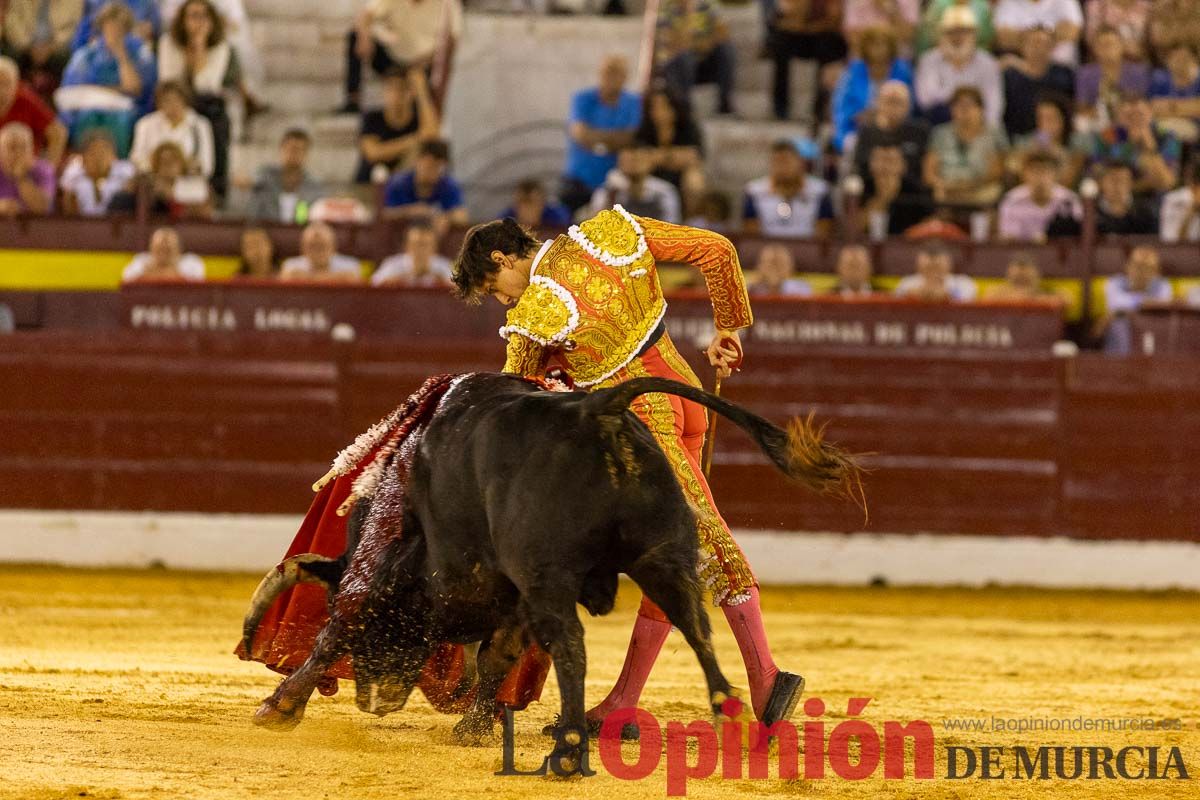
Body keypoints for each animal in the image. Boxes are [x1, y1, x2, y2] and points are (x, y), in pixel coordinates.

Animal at [241, 376, 864, 777]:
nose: (379, 700)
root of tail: (598, 409)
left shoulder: (421, 579)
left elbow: (336, 627)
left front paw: (280, 706)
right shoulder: (508, 596)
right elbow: (498, 654)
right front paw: (473, 725)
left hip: (550, 579)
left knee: (573, 648)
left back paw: (570, 748)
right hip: (664, 558)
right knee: (697, 630)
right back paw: (729, 719)